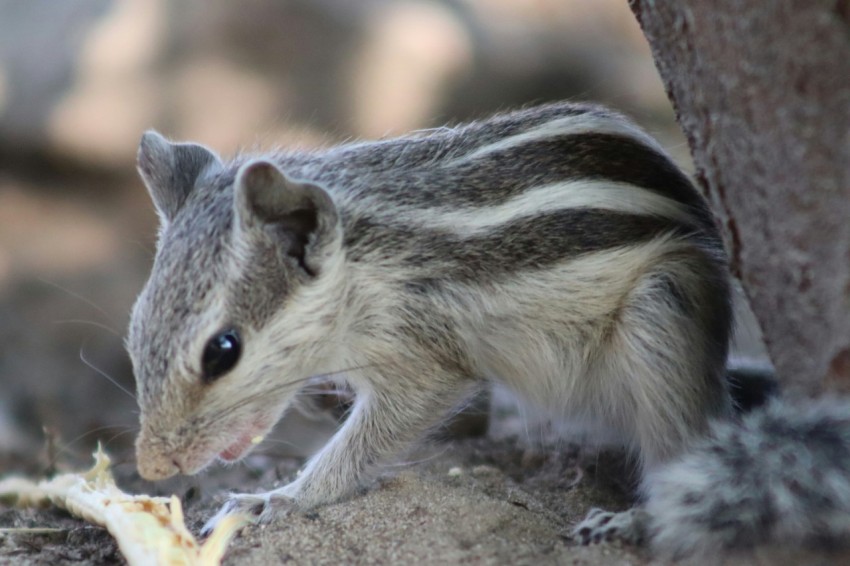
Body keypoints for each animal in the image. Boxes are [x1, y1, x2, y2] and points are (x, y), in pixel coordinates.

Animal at [126, 103, 848, 564]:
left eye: (222, 351)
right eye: (134, 331)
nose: (153, 467)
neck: (364, 261)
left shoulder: (423, 360)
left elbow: (363, 446)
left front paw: (275, 499)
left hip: (660, 319)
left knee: (688, 445)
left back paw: (632, 517)